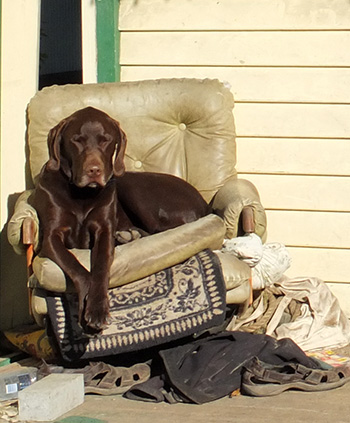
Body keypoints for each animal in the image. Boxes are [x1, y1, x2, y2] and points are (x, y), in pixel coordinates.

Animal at [30, 107, 209, 332]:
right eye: (76, 140)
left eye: (106, 140)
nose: (94, 170)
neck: (81, 194)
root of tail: (204, 203)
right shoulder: (51, 237)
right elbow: (77, 267)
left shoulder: (104, 230)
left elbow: (100, 267)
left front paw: (96, 308)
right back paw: (127, 235)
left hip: (131, 187)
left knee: (159, 230)